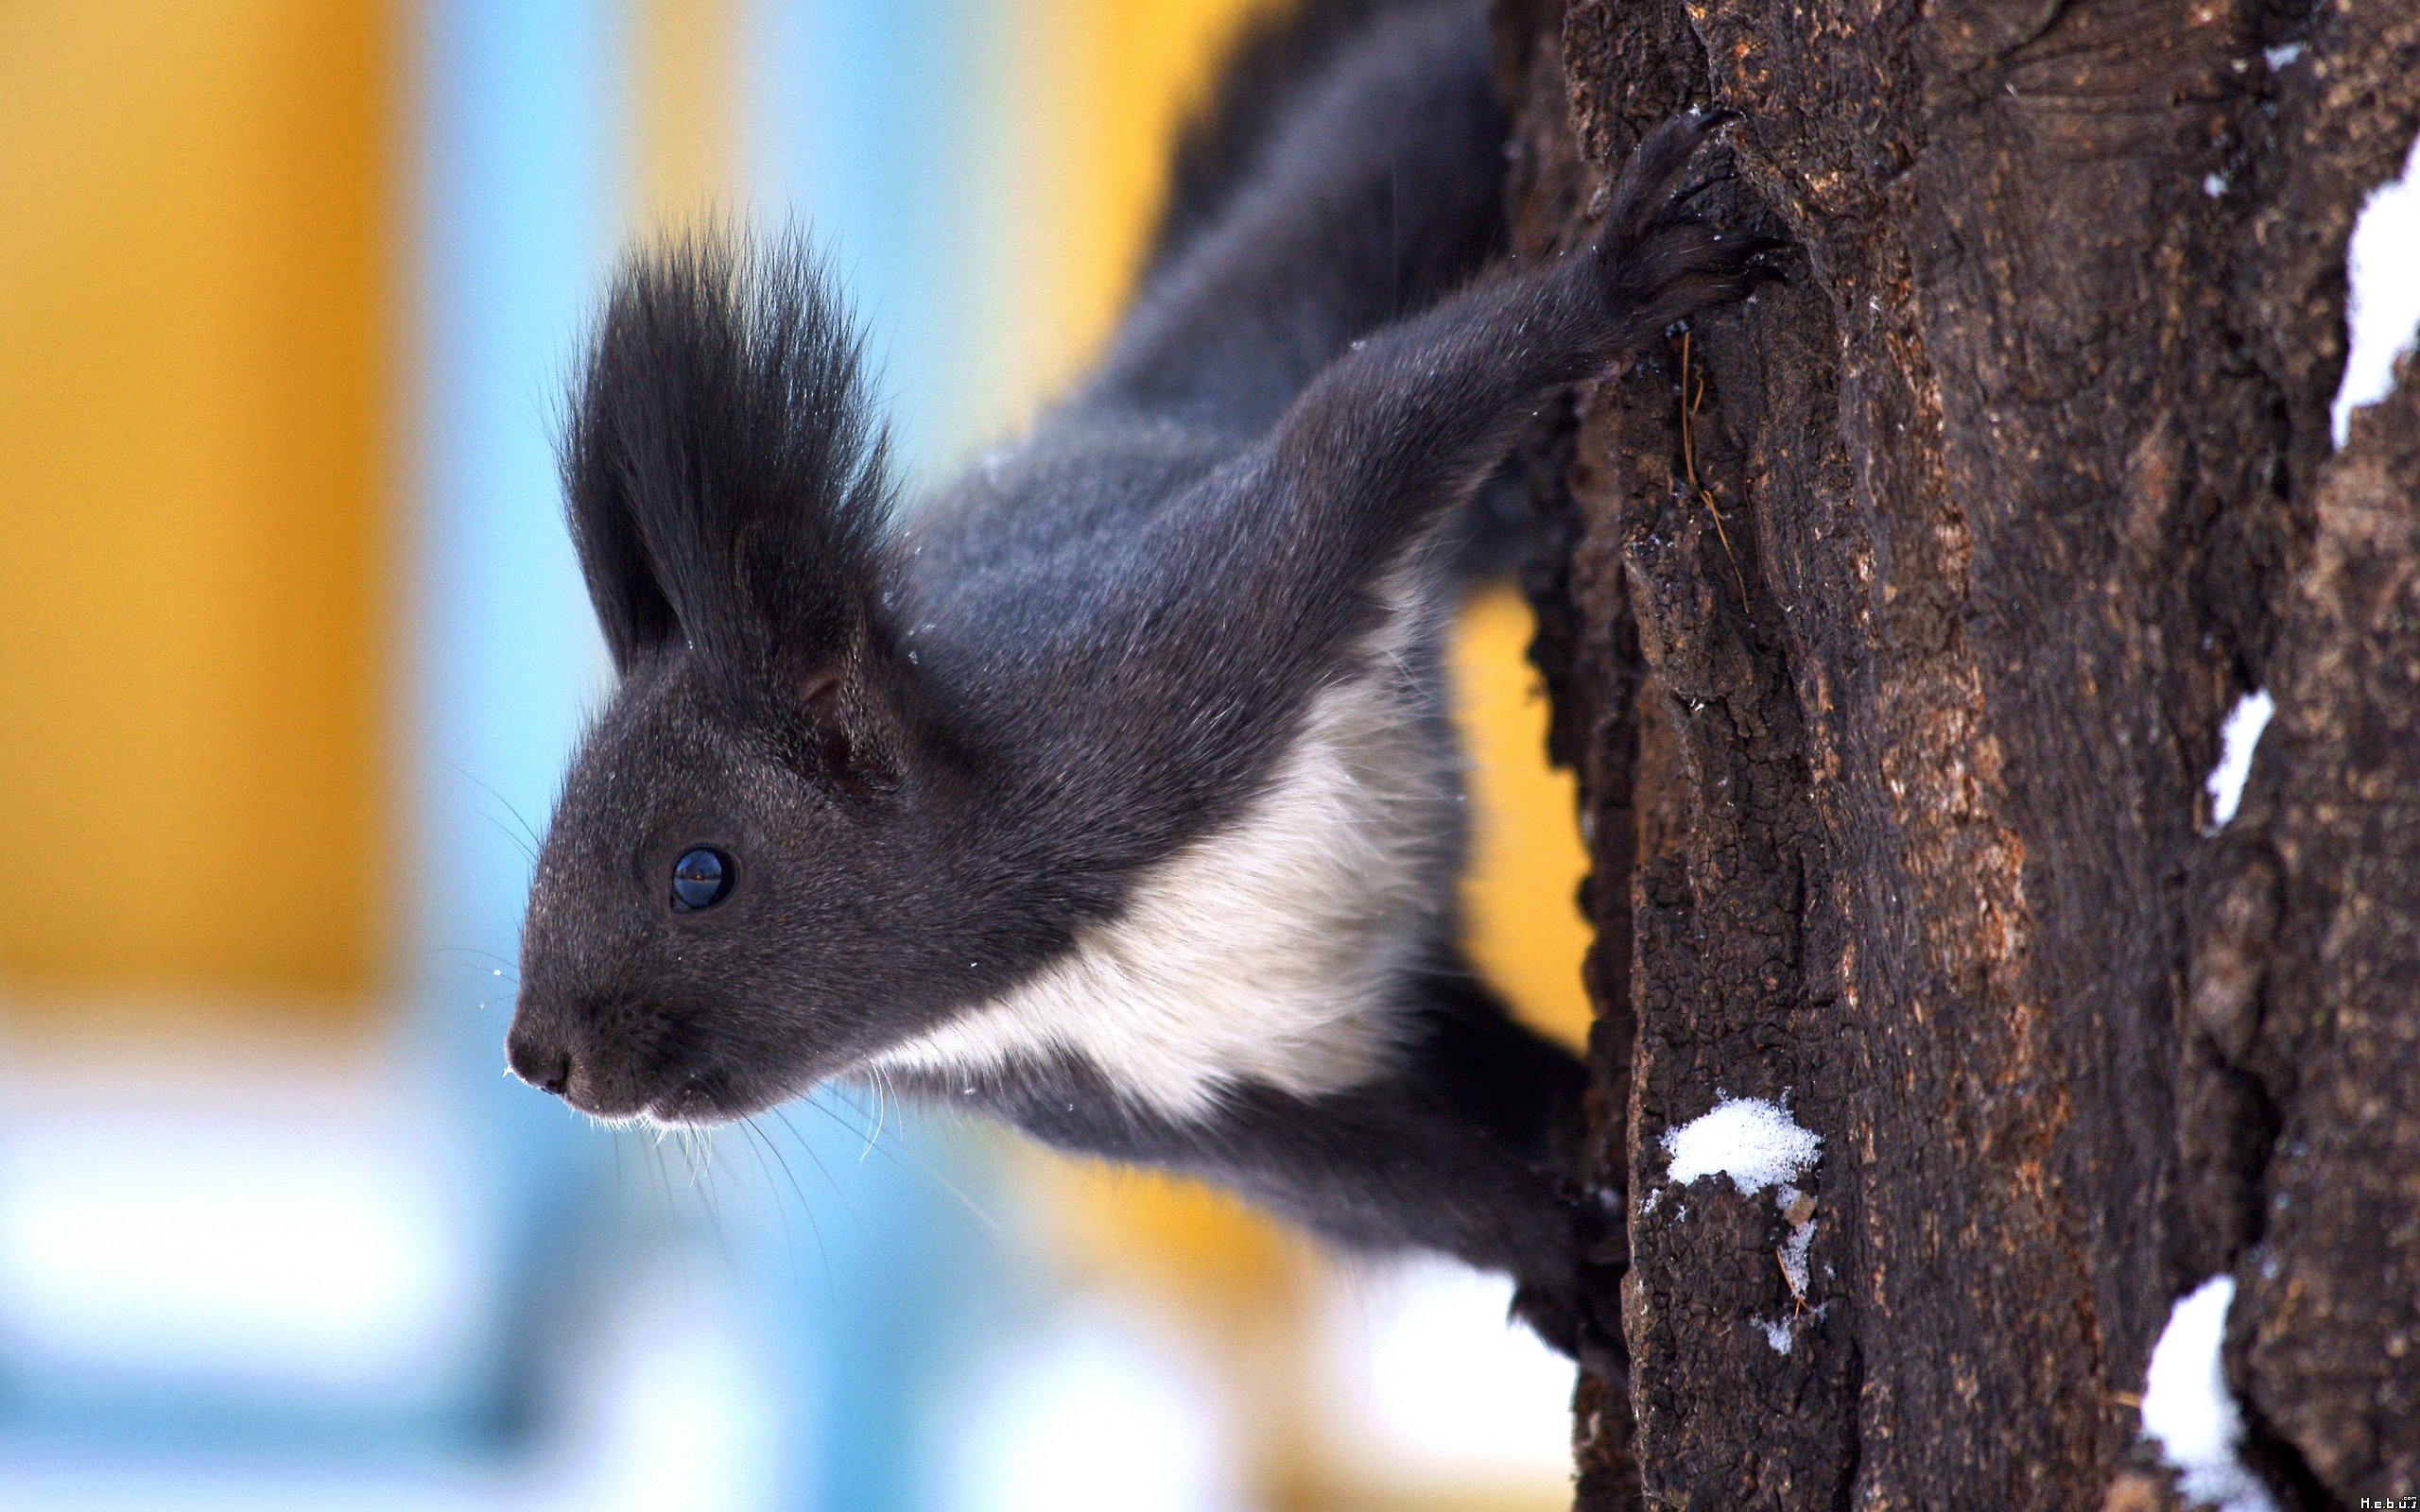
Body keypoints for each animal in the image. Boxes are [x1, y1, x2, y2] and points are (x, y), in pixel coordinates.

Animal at [506, 0, 1781, 1364]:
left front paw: (1619, 278)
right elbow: (1378, 1186)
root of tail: (1134, 394)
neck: (1040, 951)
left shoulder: (1183, 645)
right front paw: (1557, 1253)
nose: (538, 1059)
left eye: (702, 874)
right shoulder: (1142, 1105)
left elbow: (1364, 425)